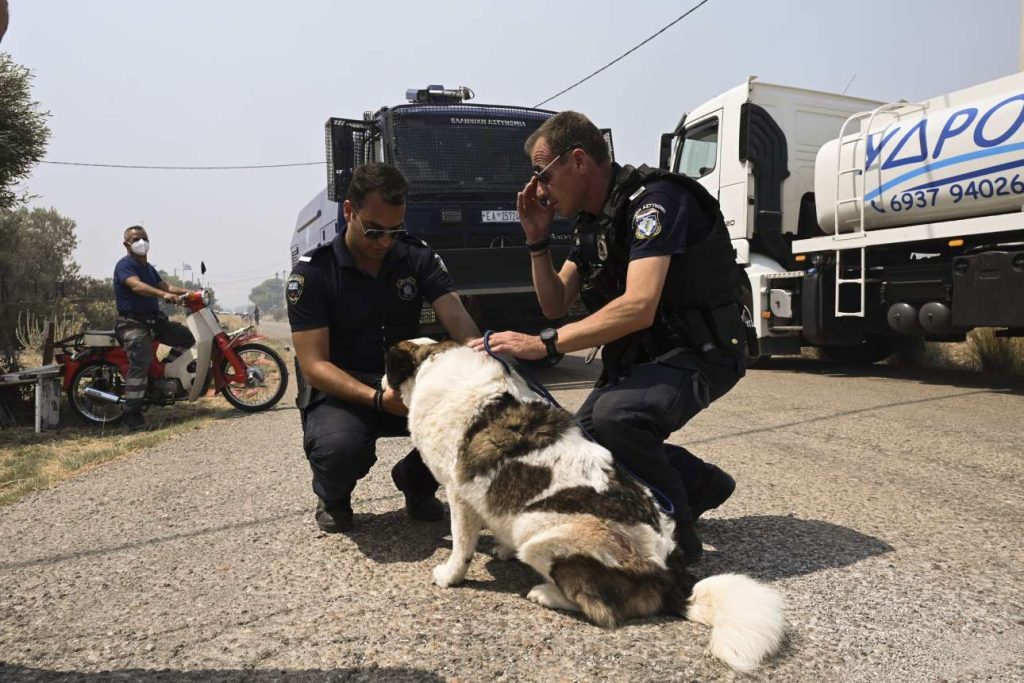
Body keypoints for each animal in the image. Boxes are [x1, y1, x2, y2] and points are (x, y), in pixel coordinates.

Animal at [385, 339, 782, 671]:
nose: (380, 382)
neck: (434, 363)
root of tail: (668, 573)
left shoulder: (458, 494)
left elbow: (461, 543)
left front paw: (450, 575)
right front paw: (501, 548)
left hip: (541, 534)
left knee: (601, 610)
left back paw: (545, 594)